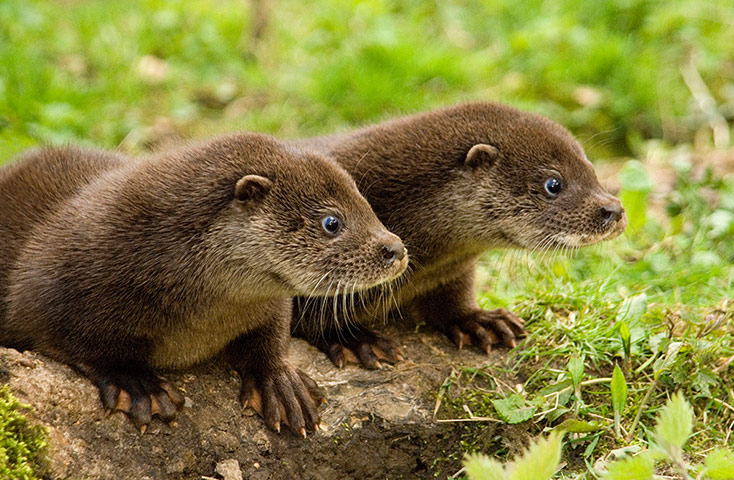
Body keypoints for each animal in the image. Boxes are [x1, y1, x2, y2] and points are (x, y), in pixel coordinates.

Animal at [0, 133, 408, 435]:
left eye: (366, 205)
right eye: (331, 222)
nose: (396, 248)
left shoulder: (270, 302)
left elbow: (273, 333)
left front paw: (279, 382)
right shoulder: (51, 285)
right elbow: (75, 339)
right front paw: (138, 385)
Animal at [291, 102, 626, 369]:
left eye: (591, 169)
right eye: (553, 184)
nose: (614, 209)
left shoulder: (451, 269)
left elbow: (452, 297)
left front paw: (478, 321)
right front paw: (354, 340)